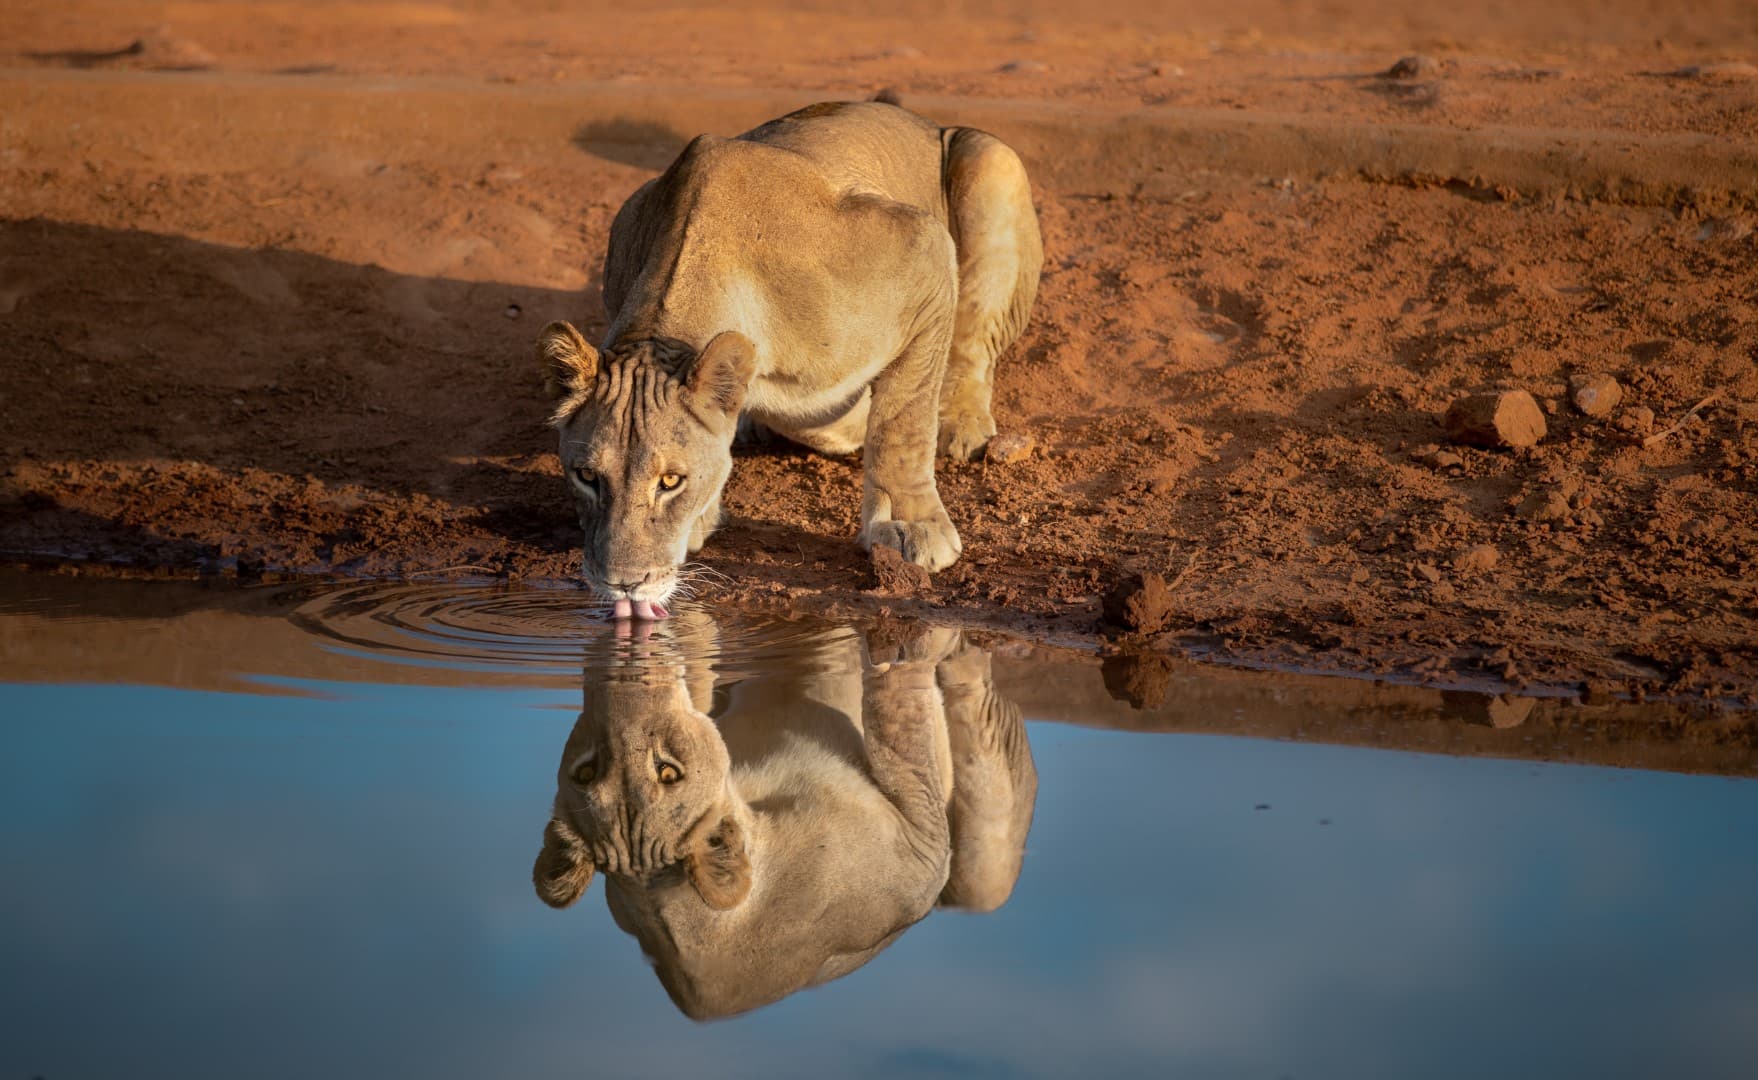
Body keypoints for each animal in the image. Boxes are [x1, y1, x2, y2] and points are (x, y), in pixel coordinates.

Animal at [531, 619, 1038, 1019]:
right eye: (586, 771)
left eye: (667, 772)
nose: (629, 678)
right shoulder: (922, 852)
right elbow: (901, 717)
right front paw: (914, 647)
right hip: (979, 880)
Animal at [537, 99, 1043, 618]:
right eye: (586, 477)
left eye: (671, 481)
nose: (622, 584)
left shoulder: (925, 249)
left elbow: (903, 420)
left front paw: (910, 525)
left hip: (989, 159)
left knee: (970, 341)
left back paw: (959, 423)